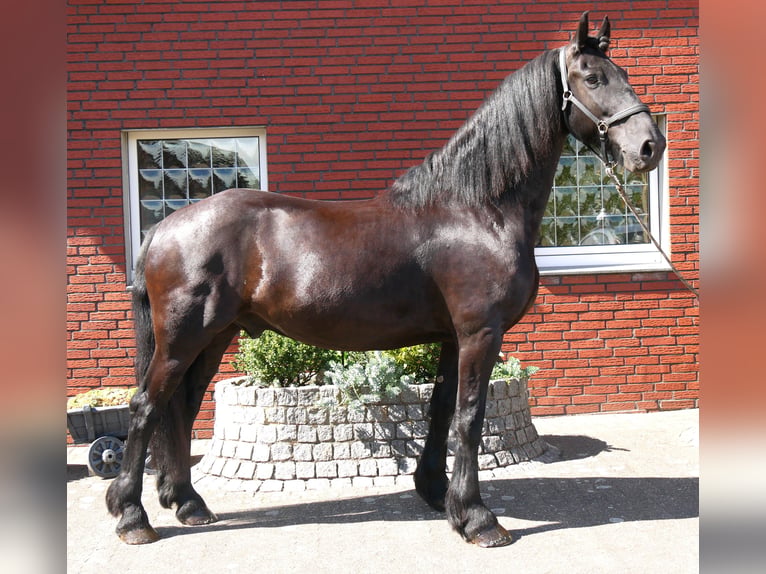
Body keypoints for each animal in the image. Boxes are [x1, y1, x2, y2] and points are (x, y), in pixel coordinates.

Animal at [106, 12, 665, 548]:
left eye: (624, 73)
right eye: (593, 77)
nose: (649, 146)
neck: (477, 209)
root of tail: (163, 228)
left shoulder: (451, 338)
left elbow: (441, 413)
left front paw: (439, 496)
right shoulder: (480, 334)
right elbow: (469, 418)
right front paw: (479, 519)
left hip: (213, 338)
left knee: (179, 410)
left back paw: (187, 503)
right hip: (184, 338)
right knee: (144, 407)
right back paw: (133, 516)